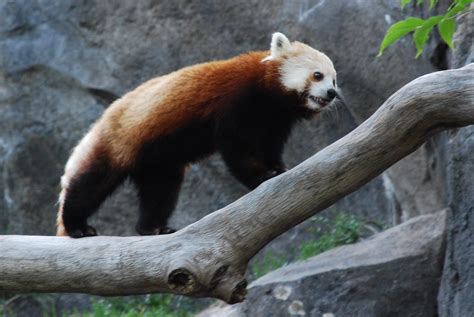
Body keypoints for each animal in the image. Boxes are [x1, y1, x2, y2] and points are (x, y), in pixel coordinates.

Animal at [56, 32, 336, 237]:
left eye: (334, 80)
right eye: (317, 75)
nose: (332, 93)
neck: (270, 97)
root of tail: (100, 122)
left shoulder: (275, 122)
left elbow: (270, 147)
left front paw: (279, 168)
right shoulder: (236, 105)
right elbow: (238, 150)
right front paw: (262, 175)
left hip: (158, 164)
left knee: (159, 192)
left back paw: (153, 227)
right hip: (121, 141)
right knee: (91, 184)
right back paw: (77, 225)